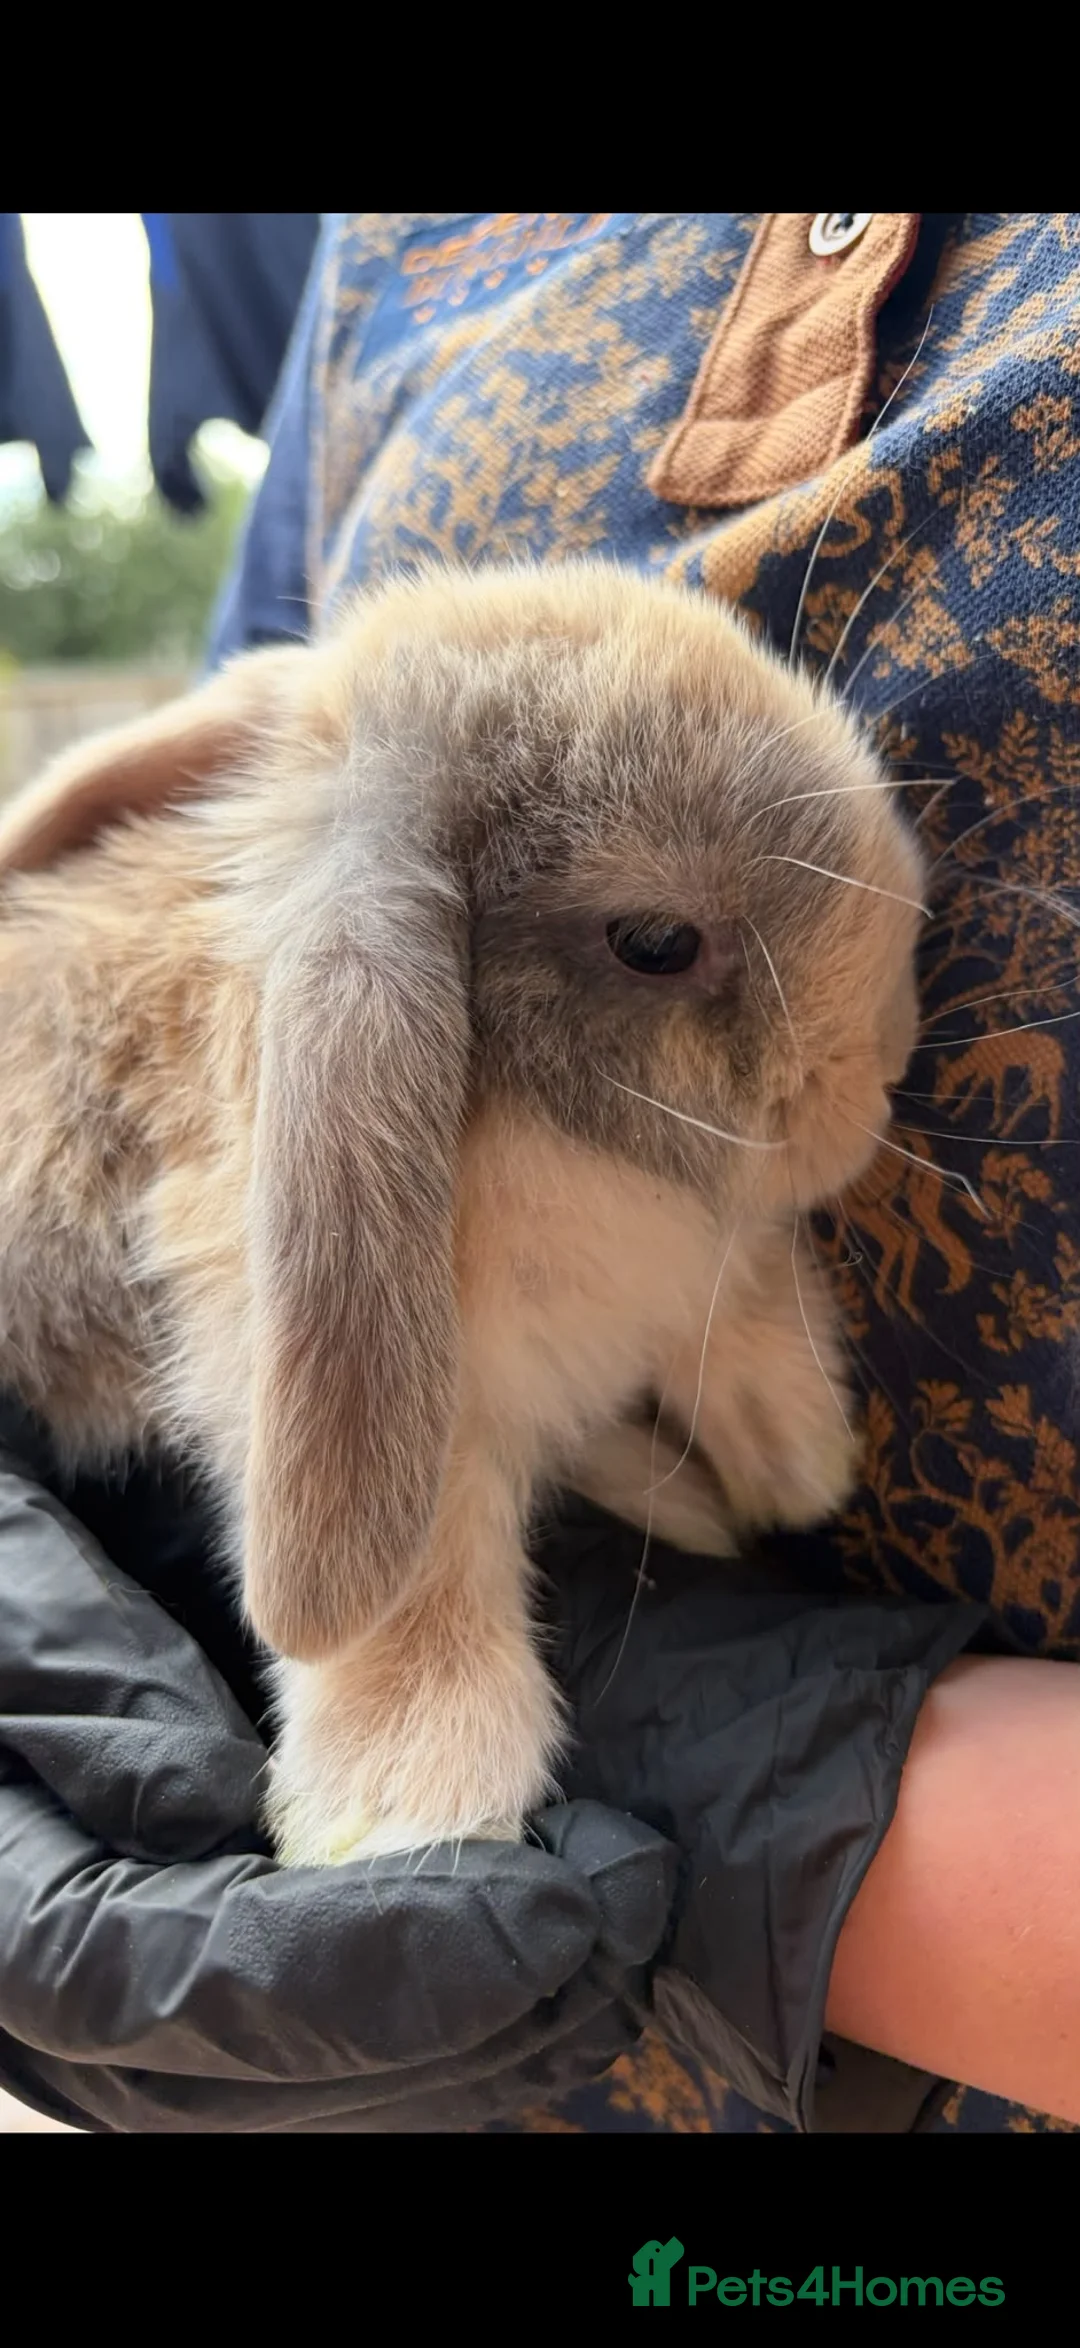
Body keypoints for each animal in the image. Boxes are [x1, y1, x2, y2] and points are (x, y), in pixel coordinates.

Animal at [0, 561, 924, 1862]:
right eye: (657, 941)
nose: (883, 1070)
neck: (543, 1129)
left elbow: (733, 1306)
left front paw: (797, 1457)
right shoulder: (364, 1385)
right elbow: (421, 1569)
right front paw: (405, 1796)